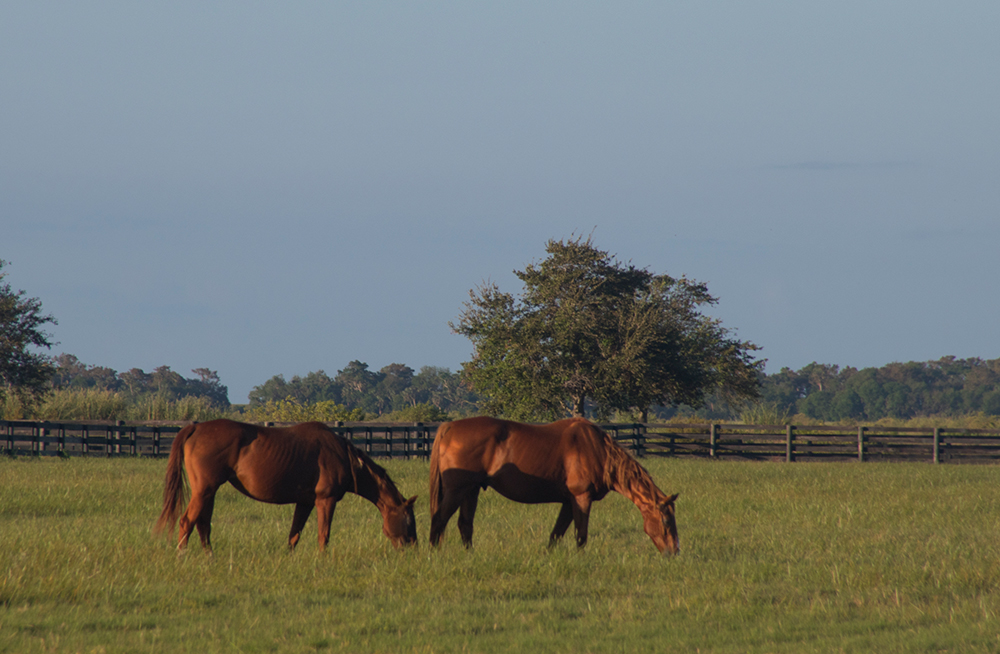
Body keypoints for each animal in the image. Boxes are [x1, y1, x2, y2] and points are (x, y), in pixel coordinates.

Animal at [155, 419, 417, 552]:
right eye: (409, 521)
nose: (412, 548)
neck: (343, 455)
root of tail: (195, 427)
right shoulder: (326, 500)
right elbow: (323, 534)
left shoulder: (305, 502)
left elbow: (294, 535)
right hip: (204, 490)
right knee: (187, 521)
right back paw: (182, 554)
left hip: (209, 491)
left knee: (202, 525)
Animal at [428, 416, 679, 554]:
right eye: (666, 521)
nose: (674, 552)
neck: (598, 451)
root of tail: (449, 427)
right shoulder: (581, 498)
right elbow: (581, 535)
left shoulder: (568, 502)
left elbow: (556, 534)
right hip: (457, 490)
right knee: (439, 519)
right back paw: (433, 553)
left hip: (470, 491)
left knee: (464, 525)